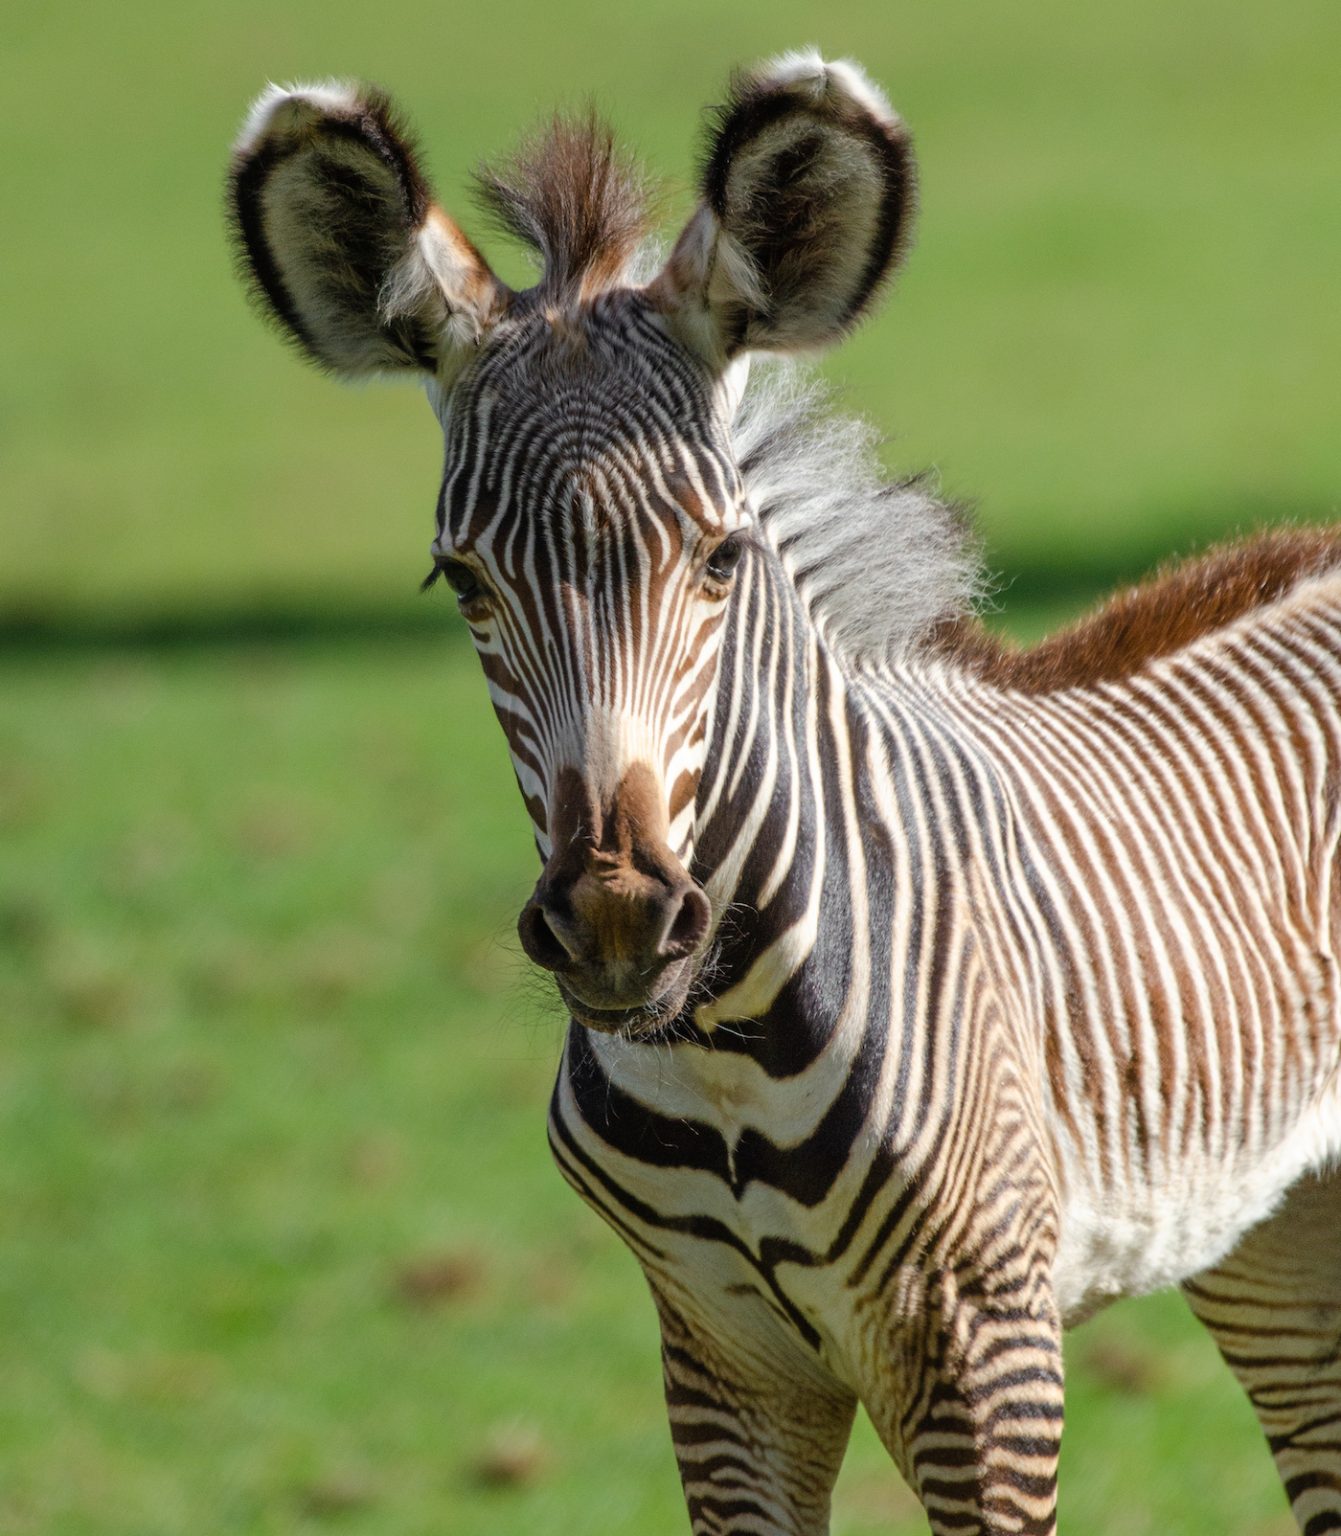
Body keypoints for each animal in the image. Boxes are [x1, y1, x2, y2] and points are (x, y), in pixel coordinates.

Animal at [228, 53, 1341, 1536]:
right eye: (460, 582)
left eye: (720, 558)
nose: (618, 924)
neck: (722, 1050)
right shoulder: (721, 1356)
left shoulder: (985, 1344)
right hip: (1279, 1238)